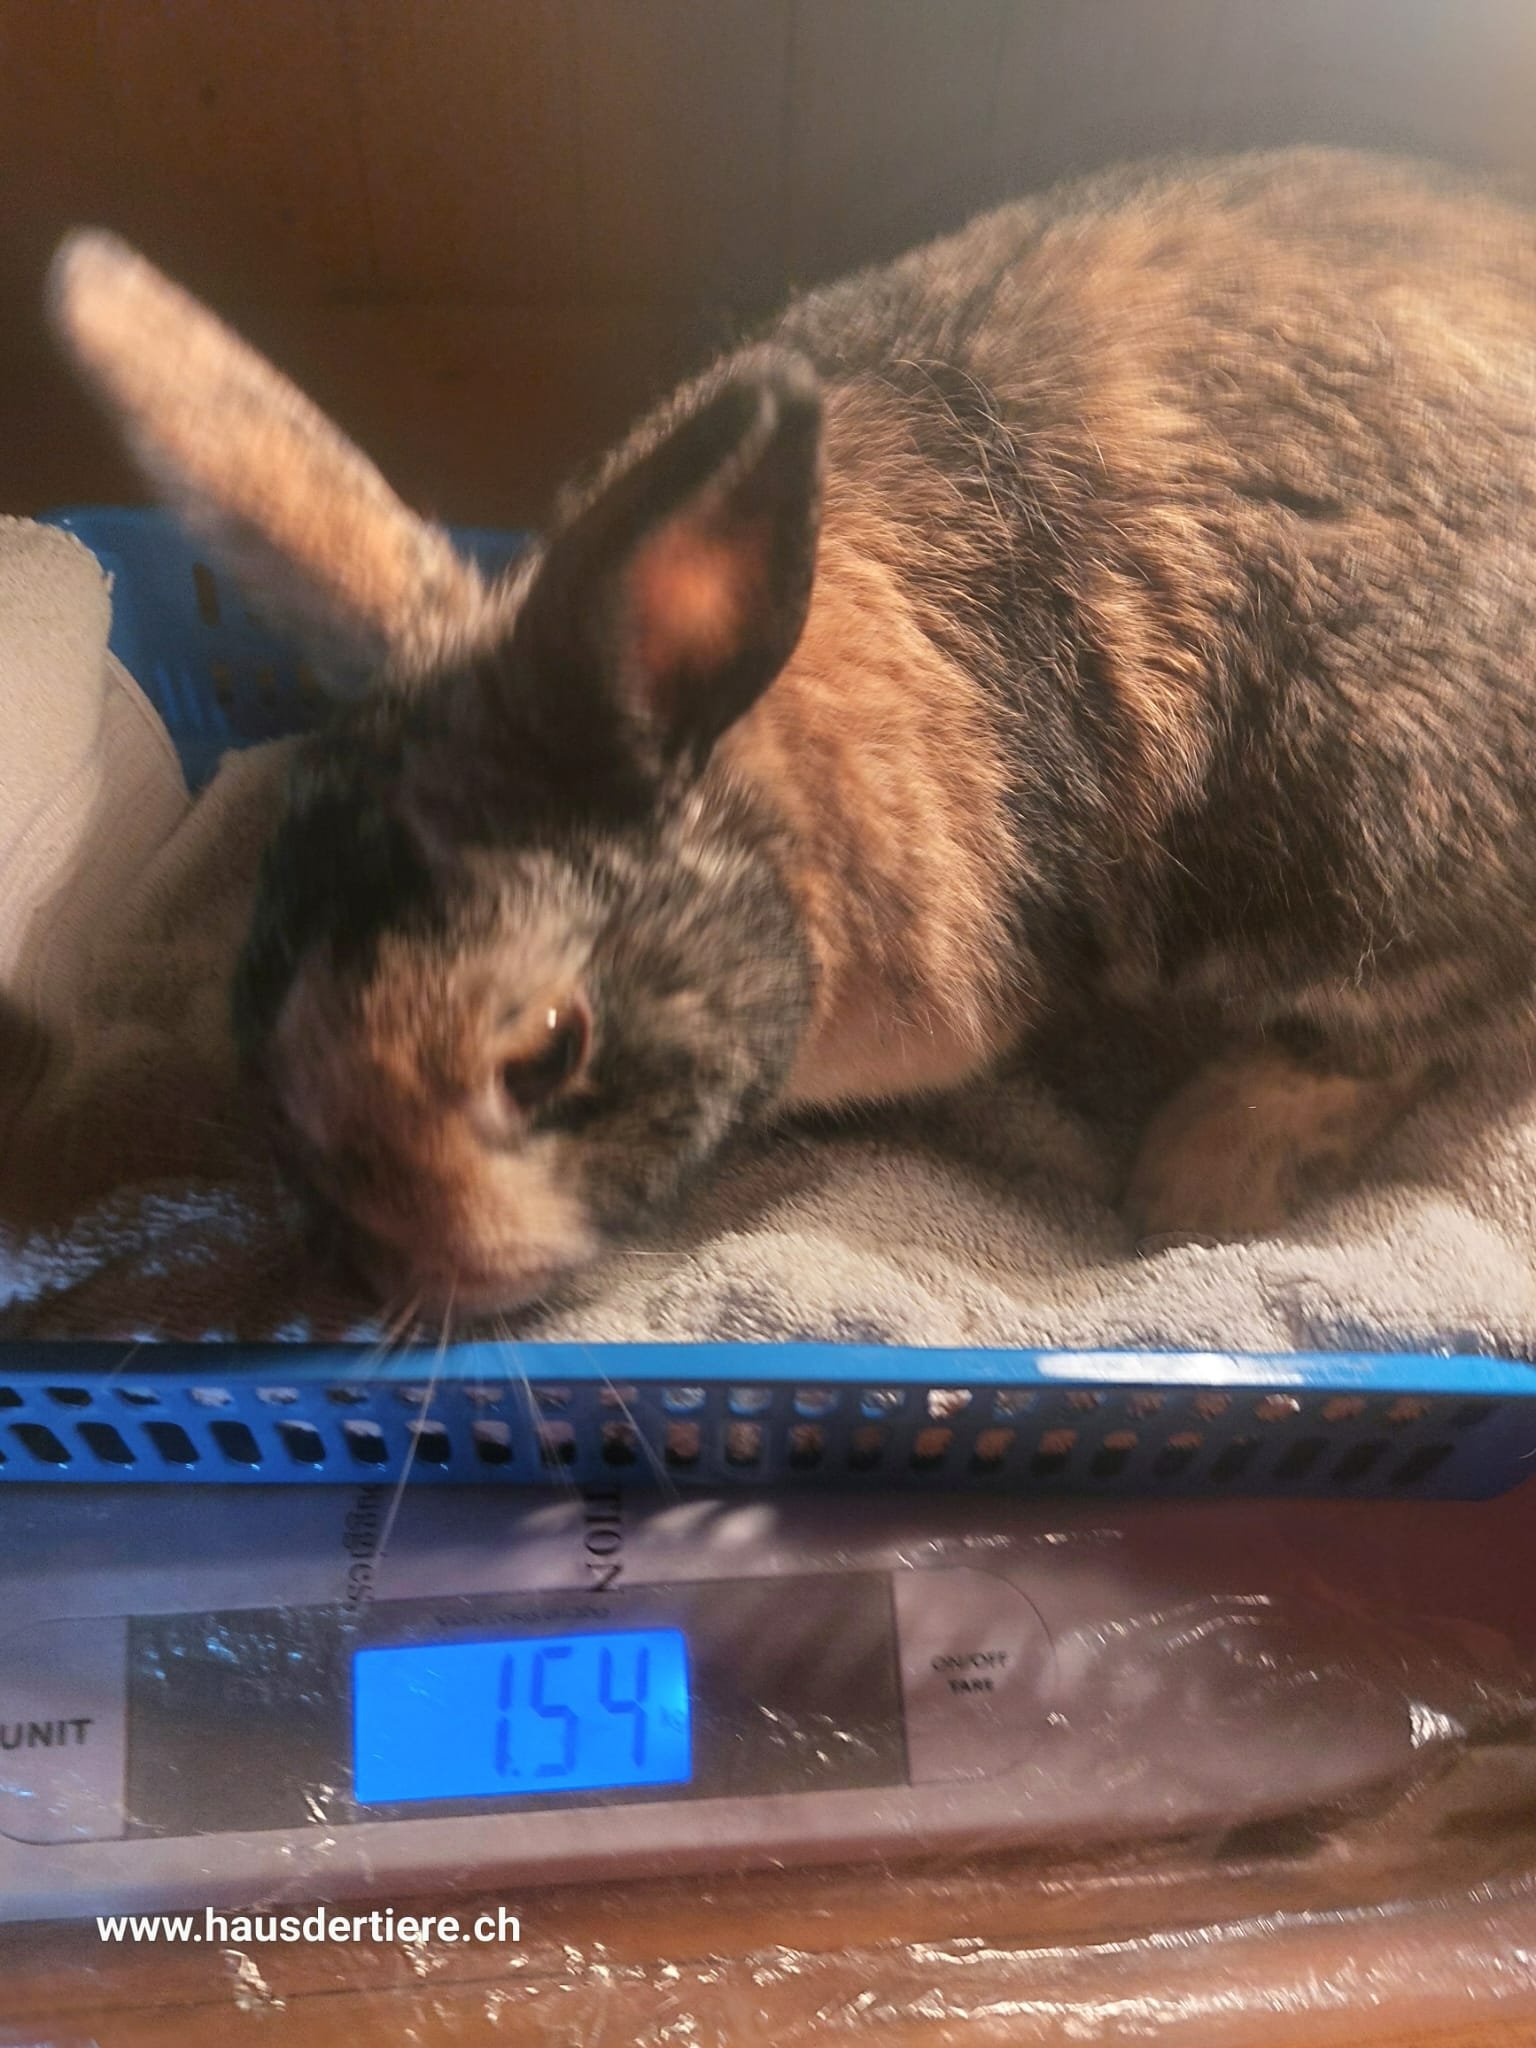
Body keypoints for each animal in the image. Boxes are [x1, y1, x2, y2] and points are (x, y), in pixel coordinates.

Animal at [46, 147, 1536, 1320]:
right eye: (256, 984)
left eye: (542, 1052)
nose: (372, 1277)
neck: (778, 815)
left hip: (1367, 817)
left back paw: (1198, 1171)